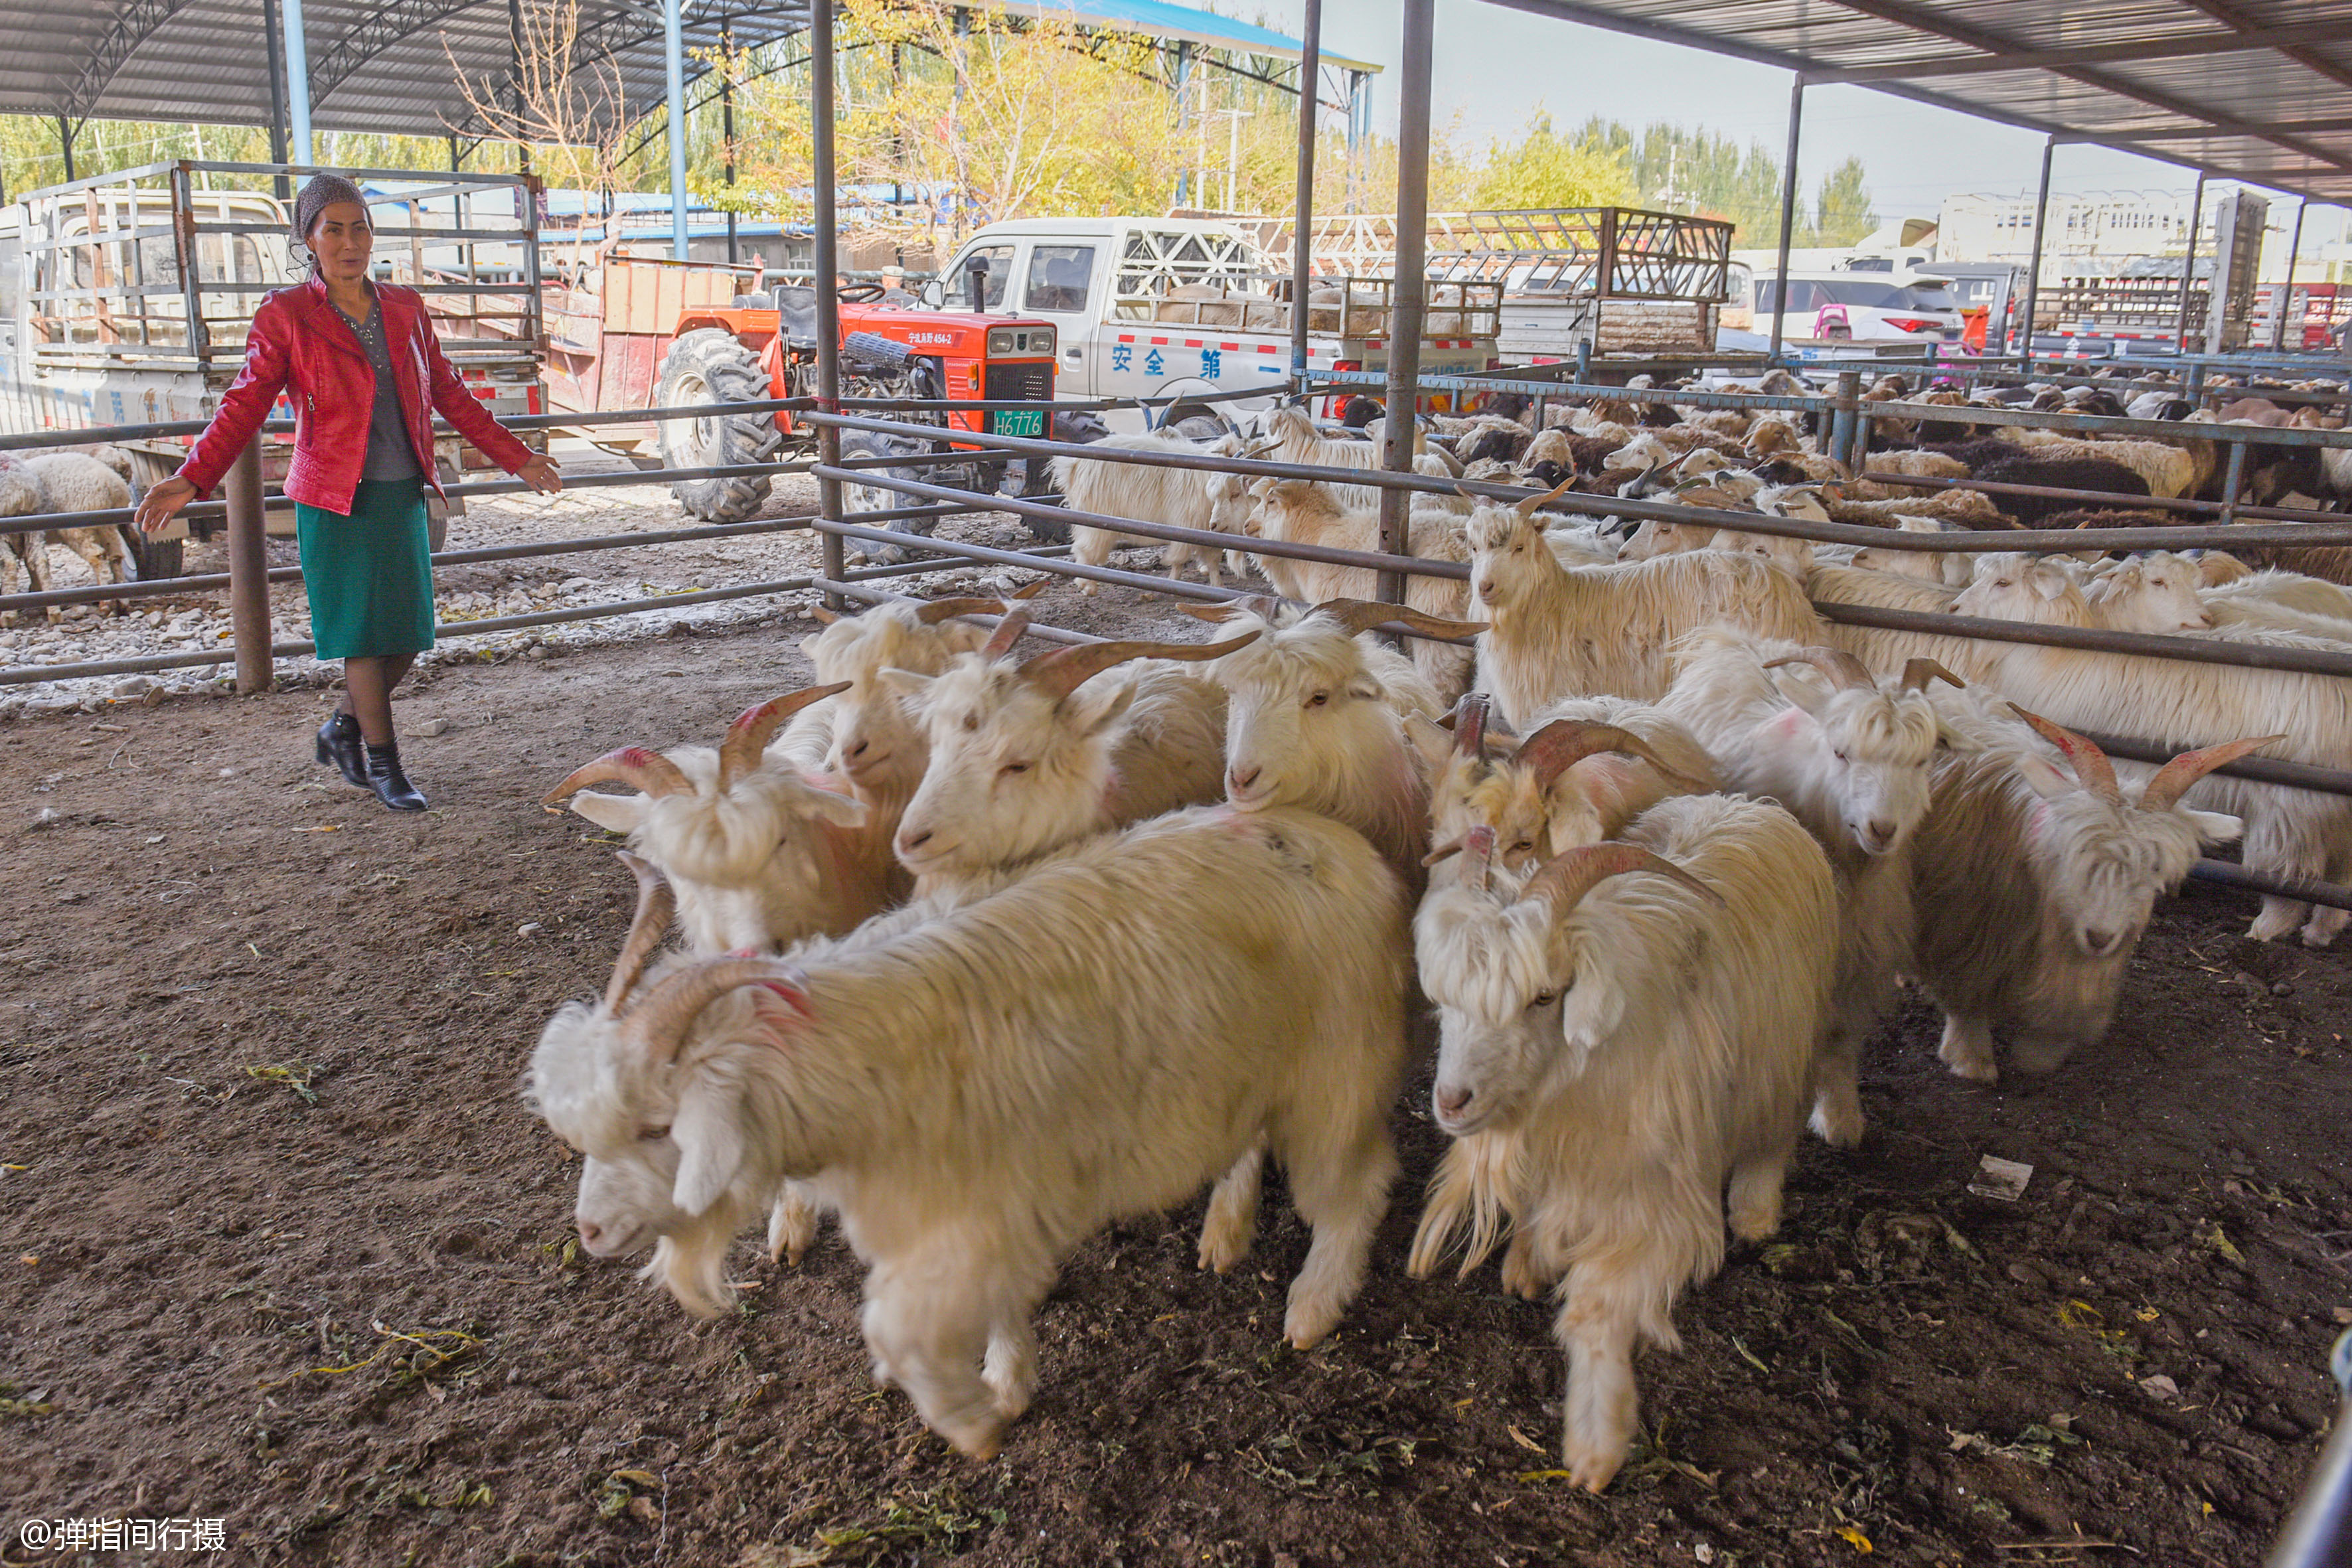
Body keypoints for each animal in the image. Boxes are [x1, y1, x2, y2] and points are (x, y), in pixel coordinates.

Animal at [529, 809, 1411, 1457]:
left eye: (658, 1126)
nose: (591, 1231)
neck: (863, 1070)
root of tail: (1344, 846)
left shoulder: (967, 1221)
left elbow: (892, 1325)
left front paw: (970, 1420)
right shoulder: (995, 1211)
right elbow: (998, 1305)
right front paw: (1008, 1383)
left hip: (1338, 1069)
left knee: (1357, 1188)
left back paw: (1313, 1306)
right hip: (1253, 1063)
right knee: (1250, 1141)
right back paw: (1226, 1231)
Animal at [1401, 799, 1843, 1495]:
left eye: (1544, 997)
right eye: (1443, 1001)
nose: (1452, 1102)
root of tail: (1750, 805)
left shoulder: (1654, 1194)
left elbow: (1595, 1307)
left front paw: (1594, 1448)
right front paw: (1527, 1263)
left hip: (1785, 1057)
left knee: (1774, 1132)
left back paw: (1754, 1212)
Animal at [1909, 710, 2276, 1081]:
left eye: (2155, 866)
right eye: (2074, 851)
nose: (2099, 937)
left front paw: (2039, 1052)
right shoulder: (1960, 937)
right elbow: (1967, 998)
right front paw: (1971, 1060)